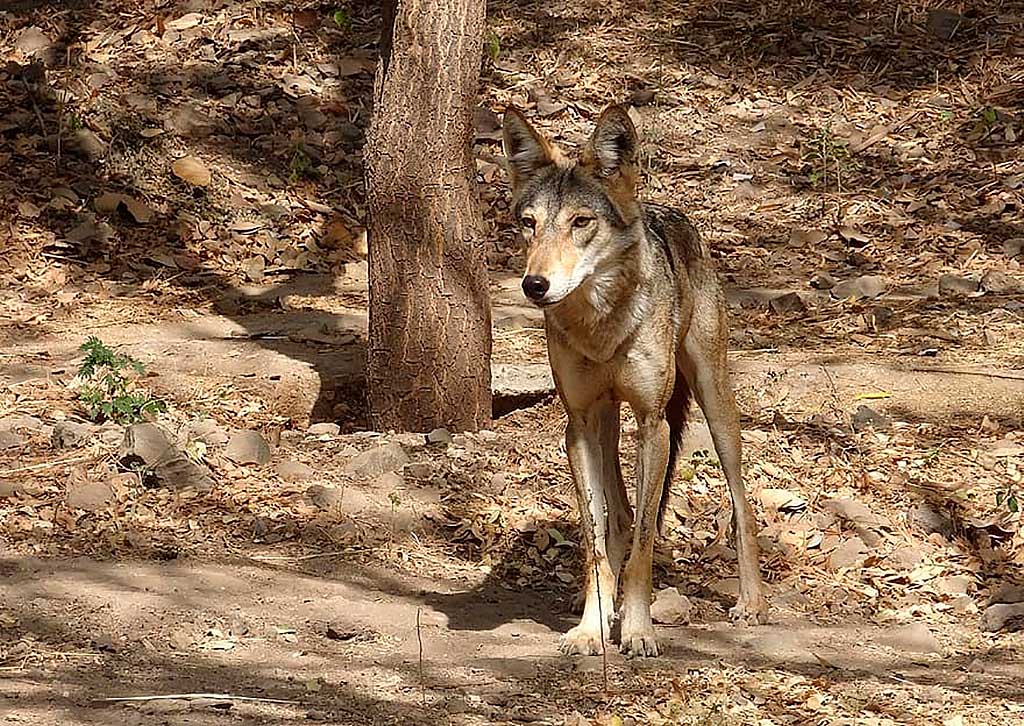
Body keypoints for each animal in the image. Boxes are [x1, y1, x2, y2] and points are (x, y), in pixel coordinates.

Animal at [502, 104, 767, 658]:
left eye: (581, 222)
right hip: (605, 423)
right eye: (529, 225)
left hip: (715, 404)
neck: (601, 324)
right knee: (619, 514)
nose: (534, 284)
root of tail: (668, 212)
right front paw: (591, 626)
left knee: (741, 505)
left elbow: (646, 539)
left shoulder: (652, 424)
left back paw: (751, 602)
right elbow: (595, 536)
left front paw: (640, 630)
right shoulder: (577, 425)